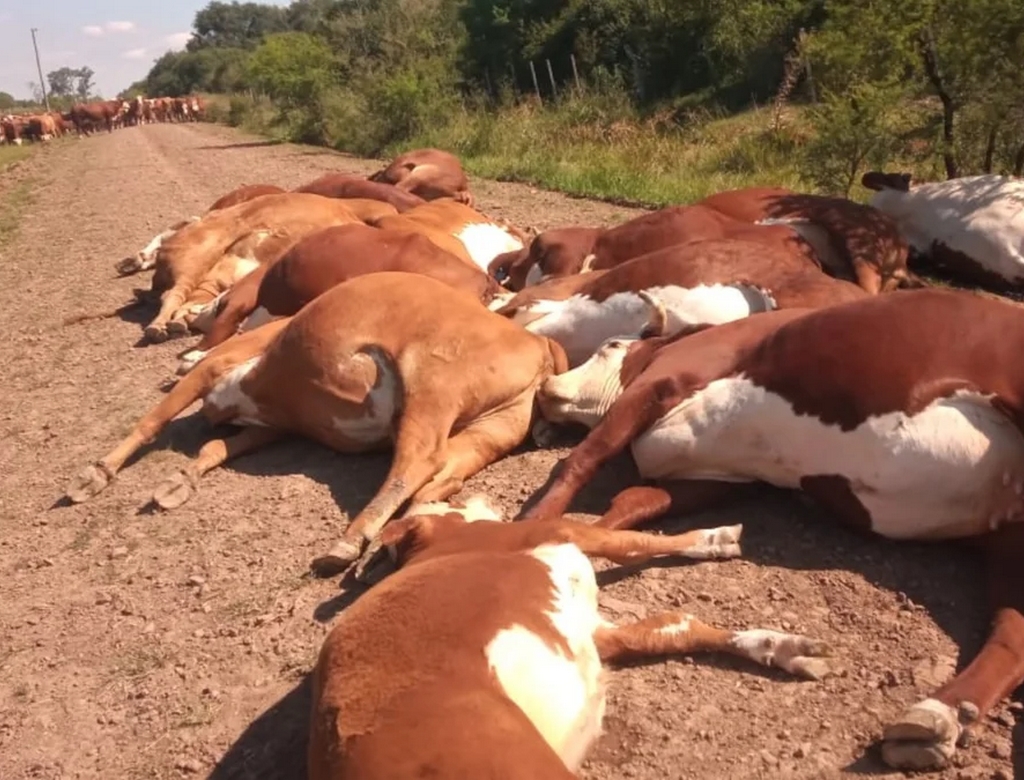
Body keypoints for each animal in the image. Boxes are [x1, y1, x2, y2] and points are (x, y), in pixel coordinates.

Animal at [66, 272, 569, 578]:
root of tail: (537, 342)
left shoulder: (215, 372)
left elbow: (152, 420)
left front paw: (95, 475)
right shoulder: (273, 424)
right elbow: (215, 449)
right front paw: (181, 480)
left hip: (432, 382)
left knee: (416, 461)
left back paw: (350, 542)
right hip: (485, 432)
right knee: (439, 477)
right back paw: (398, 540)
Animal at [141, 193, 369, 343]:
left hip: (206, 274)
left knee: (185, 301)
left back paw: (177, 324)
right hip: (196, 257)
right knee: (173, 294)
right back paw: (157, 327)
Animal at [308, 497, 830, 780]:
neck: (446, 547)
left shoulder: (594, 634)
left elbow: (673, 625)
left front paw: (780, 646)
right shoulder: (559, 530)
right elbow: (633, 541)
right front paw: (714, 536)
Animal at [524, 287, 1024, 771]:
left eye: (610, 346)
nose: (546, 386)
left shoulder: (664, 378)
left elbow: (584, 457)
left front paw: (538, 525)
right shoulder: (714, 480)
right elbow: (630, 504)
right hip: (1008, 545)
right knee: (1010, 633)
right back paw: (940, 717)